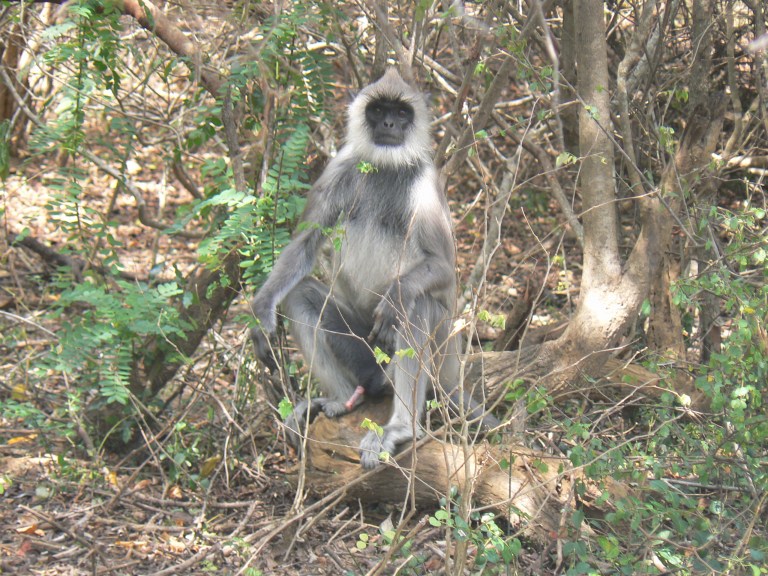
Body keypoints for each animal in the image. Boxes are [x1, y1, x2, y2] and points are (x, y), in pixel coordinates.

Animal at [250, 68, 496, 468]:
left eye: (402, 112)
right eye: (378, 109)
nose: (389, 124)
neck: (386, 165)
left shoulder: (426, 183)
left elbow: (443, 268)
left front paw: (395, 295)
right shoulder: (340, 166)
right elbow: (304, 246)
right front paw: (259, 313)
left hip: (440, 351)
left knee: (416, 307)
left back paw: (401, 427)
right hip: (364, 350)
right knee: (301, 294)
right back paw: (345, 398)